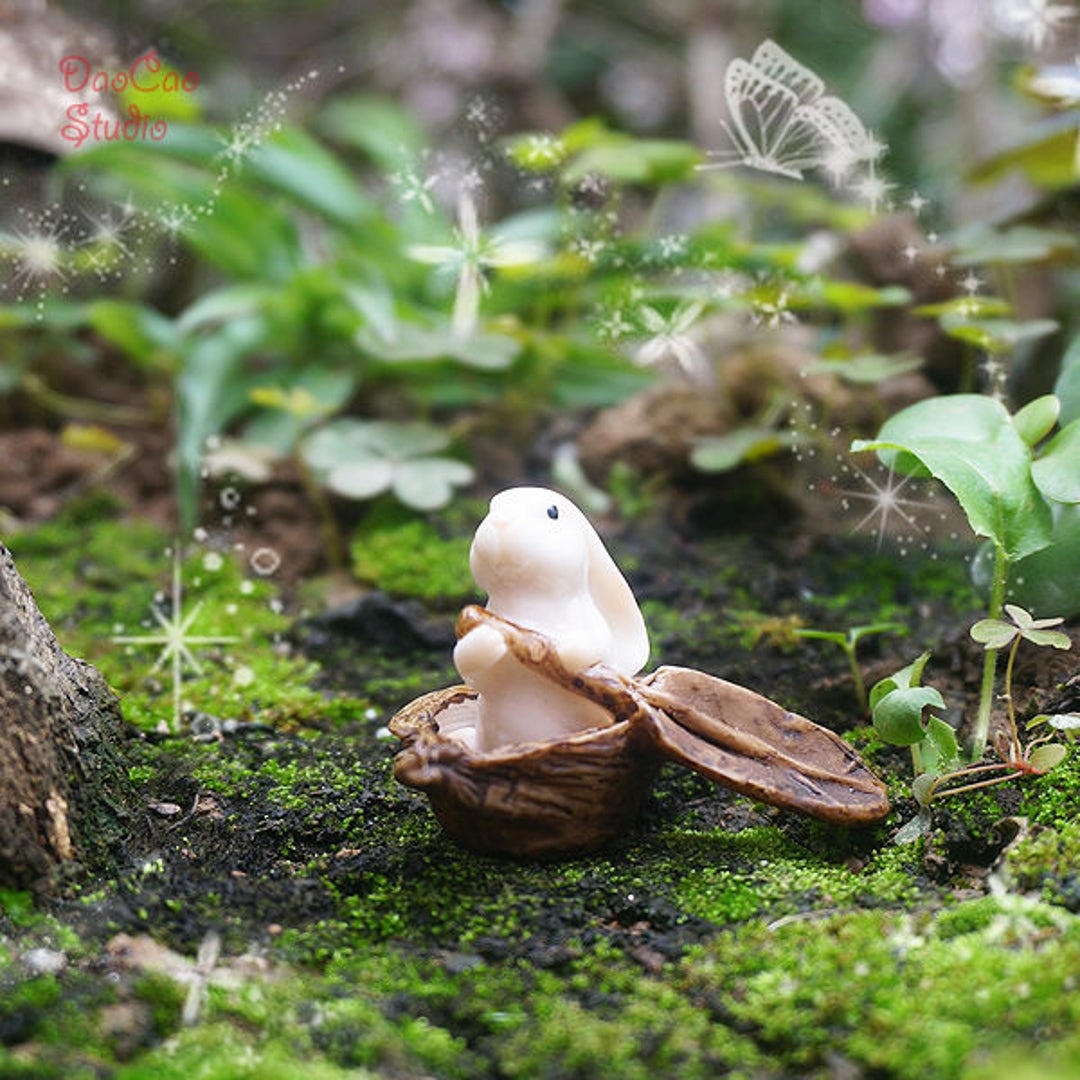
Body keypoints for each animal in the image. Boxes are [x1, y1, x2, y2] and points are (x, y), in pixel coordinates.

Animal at [453, 487, 649, 752]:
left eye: (553, 512)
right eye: (491, 508)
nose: (501, 522)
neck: (528, 604)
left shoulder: (590, 624)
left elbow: (594, 646)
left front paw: (559, 652)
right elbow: (469, 666)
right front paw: (489, 637)